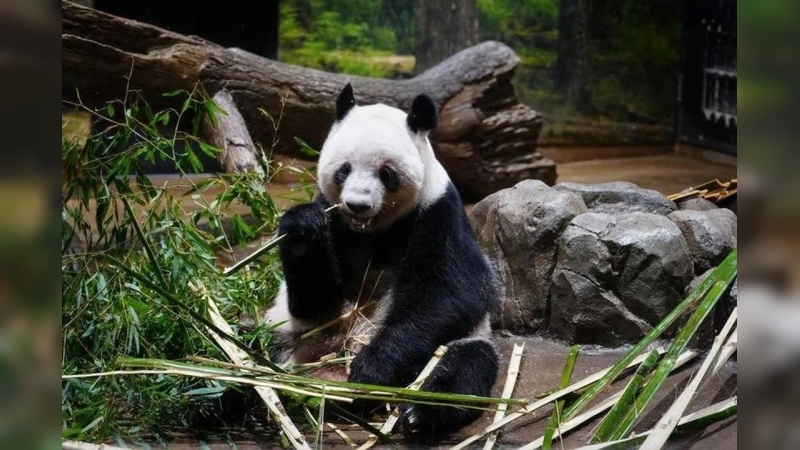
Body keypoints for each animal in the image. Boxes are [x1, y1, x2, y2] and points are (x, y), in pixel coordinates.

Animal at [263, 83, 499, 440]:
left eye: (386, 173)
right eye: (344, 169)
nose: (357, 204)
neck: (373, 231)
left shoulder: (438, 213)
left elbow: (450, 293)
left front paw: (371, 370)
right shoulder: (336, 223)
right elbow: (315, 302)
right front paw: (302, 229)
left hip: (464, 342)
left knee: (464, 367)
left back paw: (420, 414)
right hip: (286, 334)